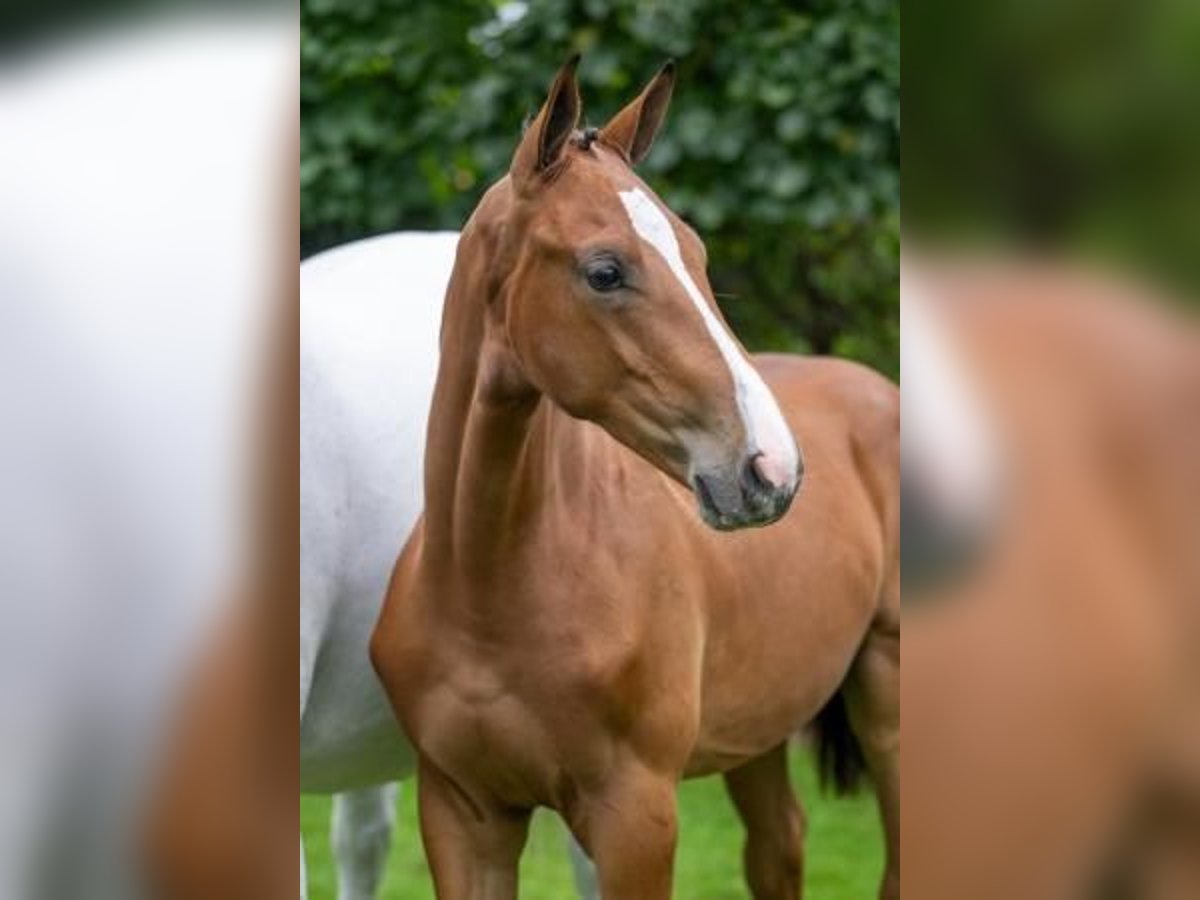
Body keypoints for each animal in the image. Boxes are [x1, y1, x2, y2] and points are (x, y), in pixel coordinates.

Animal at [374, 61, 902, 900]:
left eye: (698, 254)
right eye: (605, 271)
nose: (772, 470)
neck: (489, 587)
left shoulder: (635, 817)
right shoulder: (462, 814)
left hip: (888, 692)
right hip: (759, 732)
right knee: (780, 846)